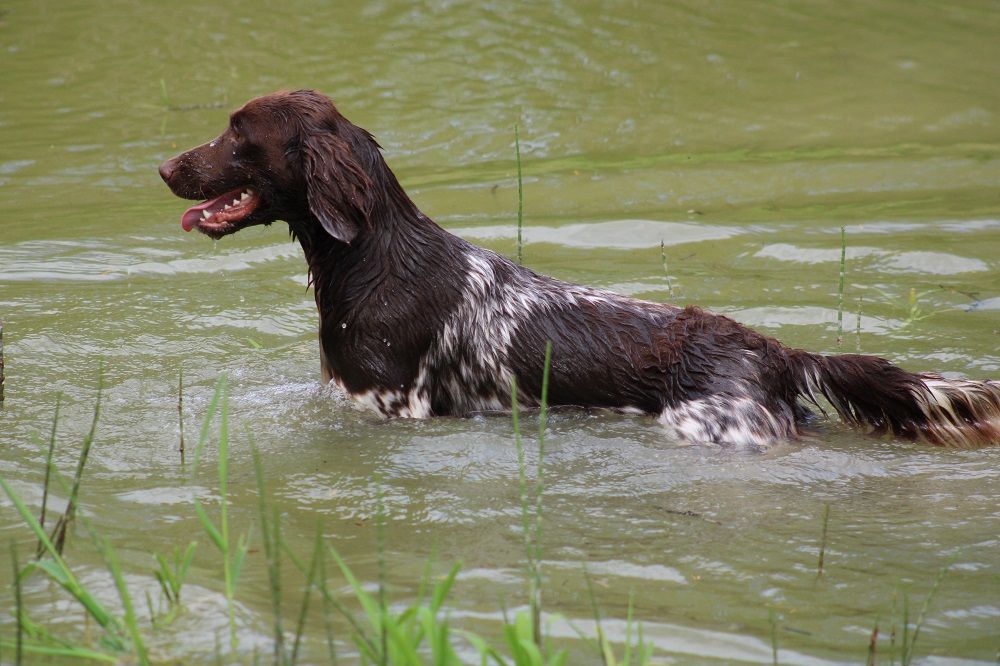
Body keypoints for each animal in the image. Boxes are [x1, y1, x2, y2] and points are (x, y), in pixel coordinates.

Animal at [158, 89, 1000, 446]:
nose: (164, 167)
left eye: (238, 132)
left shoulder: (393, 409)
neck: (373, 261)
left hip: (709, 426)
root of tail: (776, 350)